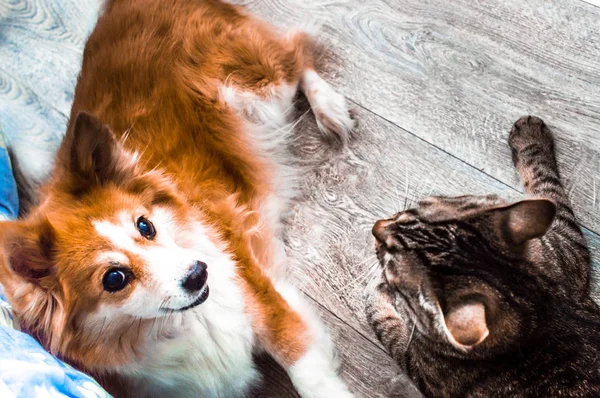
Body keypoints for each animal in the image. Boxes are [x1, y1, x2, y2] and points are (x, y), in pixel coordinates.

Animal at [366, 116, 600, 396]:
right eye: (406, 213)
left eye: (390, 266)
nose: (375, 227)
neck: (539, 310)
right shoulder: (568, 251)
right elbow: (547, 185)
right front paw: (530, 135)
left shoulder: (422, 371)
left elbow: (386, 326)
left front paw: (374, 291)